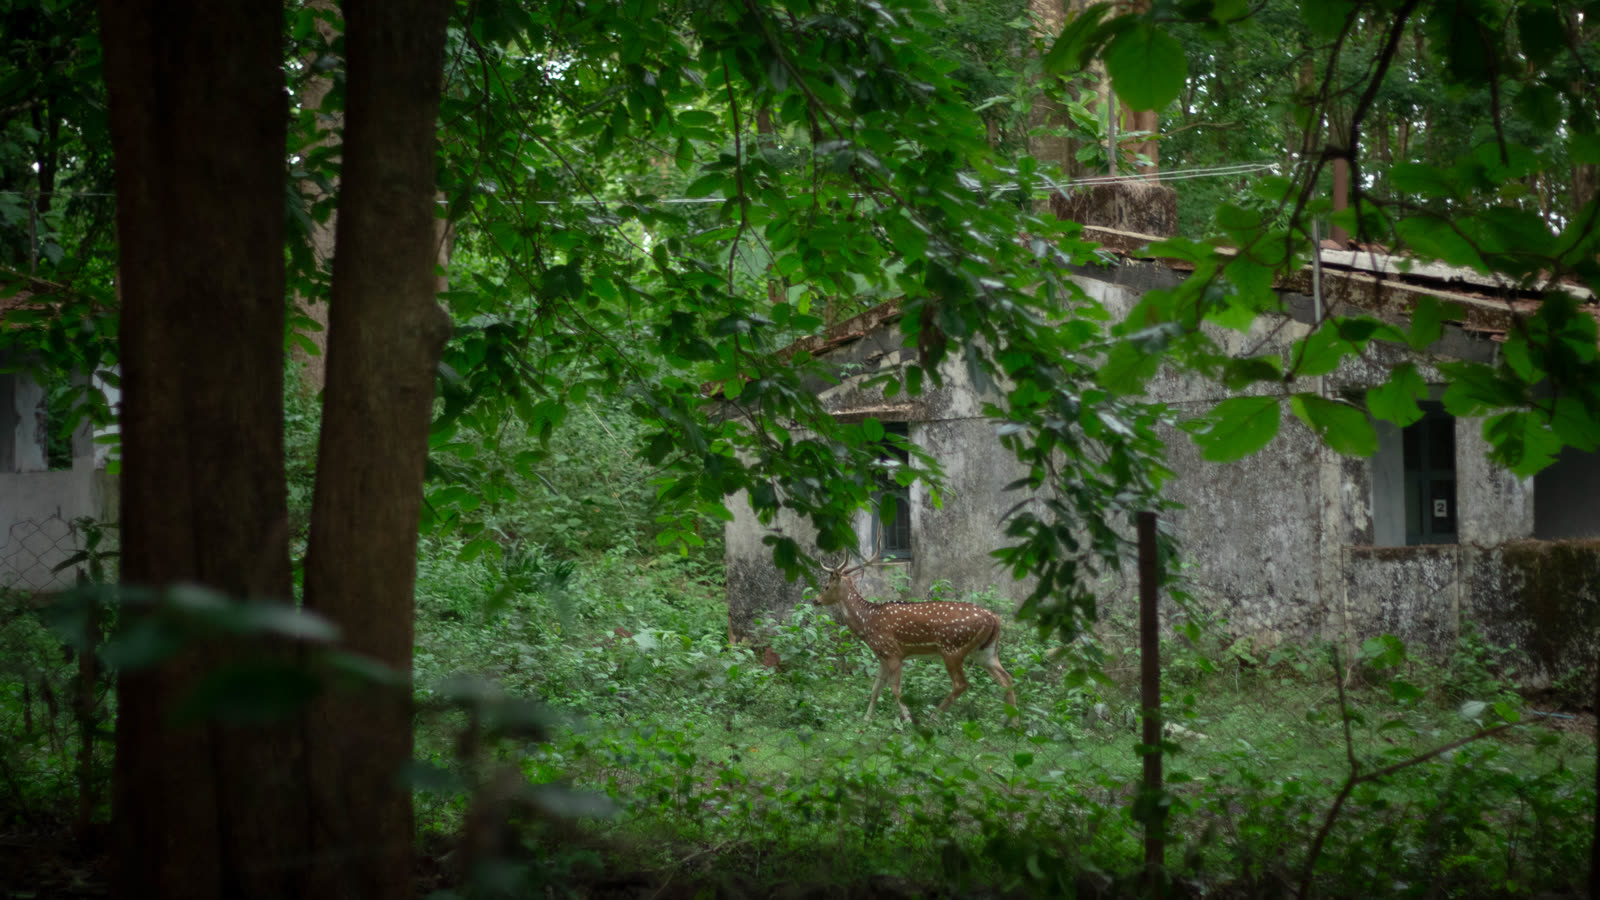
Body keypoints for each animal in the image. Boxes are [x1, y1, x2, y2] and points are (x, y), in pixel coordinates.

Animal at [816, 554, 1017, 723]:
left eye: (826, 586)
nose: (815, 600)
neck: (867, 622)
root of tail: (995, 618)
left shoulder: (893, 653)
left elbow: (895, 689)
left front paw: (908, 719)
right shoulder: (882, 656)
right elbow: (875, 689)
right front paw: (866, 720)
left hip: (952, 648)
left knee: (961, 684)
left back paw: (933, 717)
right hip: (985, 651)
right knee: (1006, 679)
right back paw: (1012, 723)